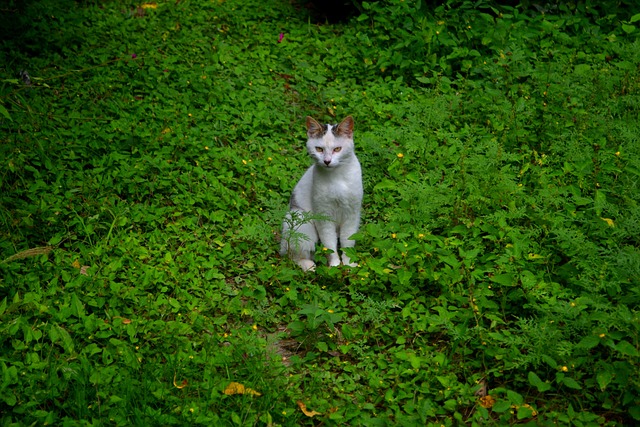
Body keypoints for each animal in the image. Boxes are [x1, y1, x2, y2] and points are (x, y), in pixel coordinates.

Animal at [282, 115, 364, 272]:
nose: (327, 161)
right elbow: (329, 244)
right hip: (300, 221)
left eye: (337, 149)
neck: (337, 177)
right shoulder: (323, 216)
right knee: (293, 255)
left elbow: (347, 241)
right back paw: (309, 266)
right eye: (319, 149)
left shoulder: (352, 214)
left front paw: (348, 265)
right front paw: (334, 266)